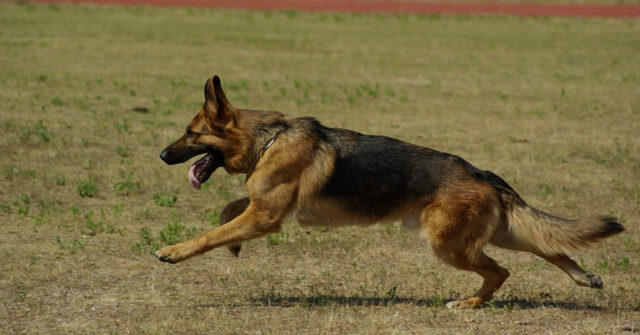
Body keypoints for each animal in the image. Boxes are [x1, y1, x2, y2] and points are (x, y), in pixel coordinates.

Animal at [158, 76, 624, 310]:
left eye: (190, 134)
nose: (162, 154)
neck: (268, 138)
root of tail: (483, 174)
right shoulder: (262, 208)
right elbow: (229, 212)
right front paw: (232, 244)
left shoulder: (265, 216)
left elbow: (211, 233)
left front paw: (175, 251)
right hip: (494, 232)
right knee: (548, 245)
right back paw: (584, 277)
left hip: (450, 245)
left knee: (501, 271)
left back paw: (470, 303)